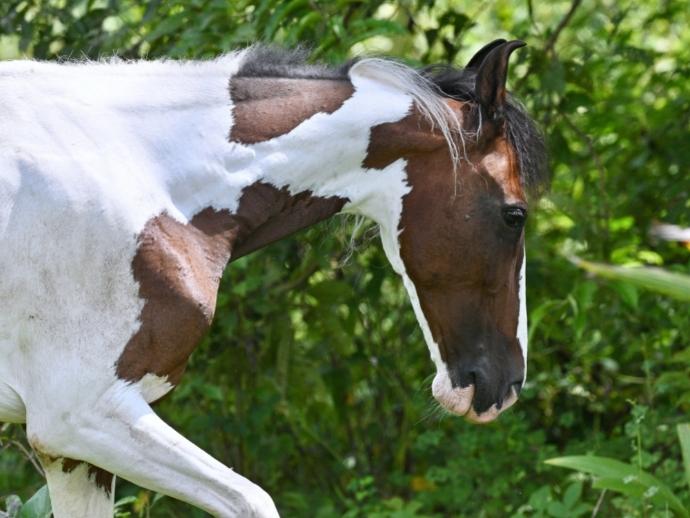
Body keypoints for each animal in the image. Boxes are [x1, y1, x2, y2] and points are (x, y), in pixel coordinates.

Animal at [0, 39, 547, 517]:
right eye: (514, 215)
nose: (505, 385)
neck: (137, 167)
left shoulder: (72, 452)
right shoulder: (79, 415)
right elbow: (254, 500)